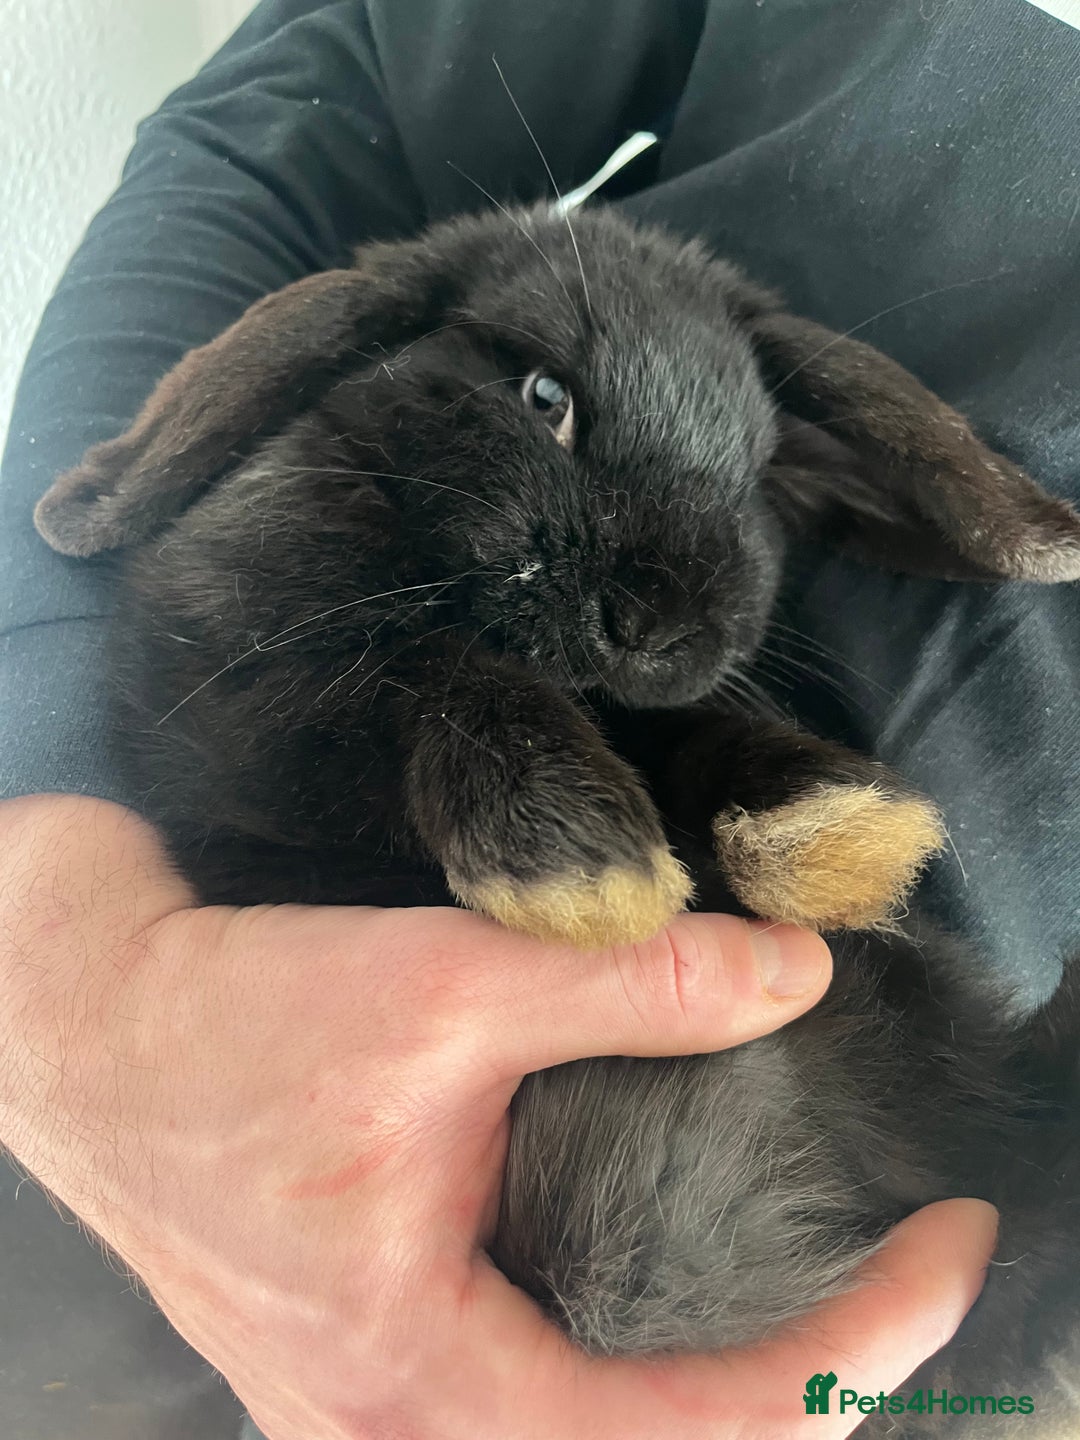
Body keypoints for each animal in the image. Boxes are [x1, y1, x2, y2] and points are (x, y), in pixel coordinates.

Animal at [35, 205, 1080, 1436]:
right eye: (544, 395)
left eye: (759, 470)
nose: (665, 621)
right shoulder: (243, 716)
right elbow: (426, 669)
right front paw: (583, 859)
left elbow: (689, 728)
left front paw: (832, 826)